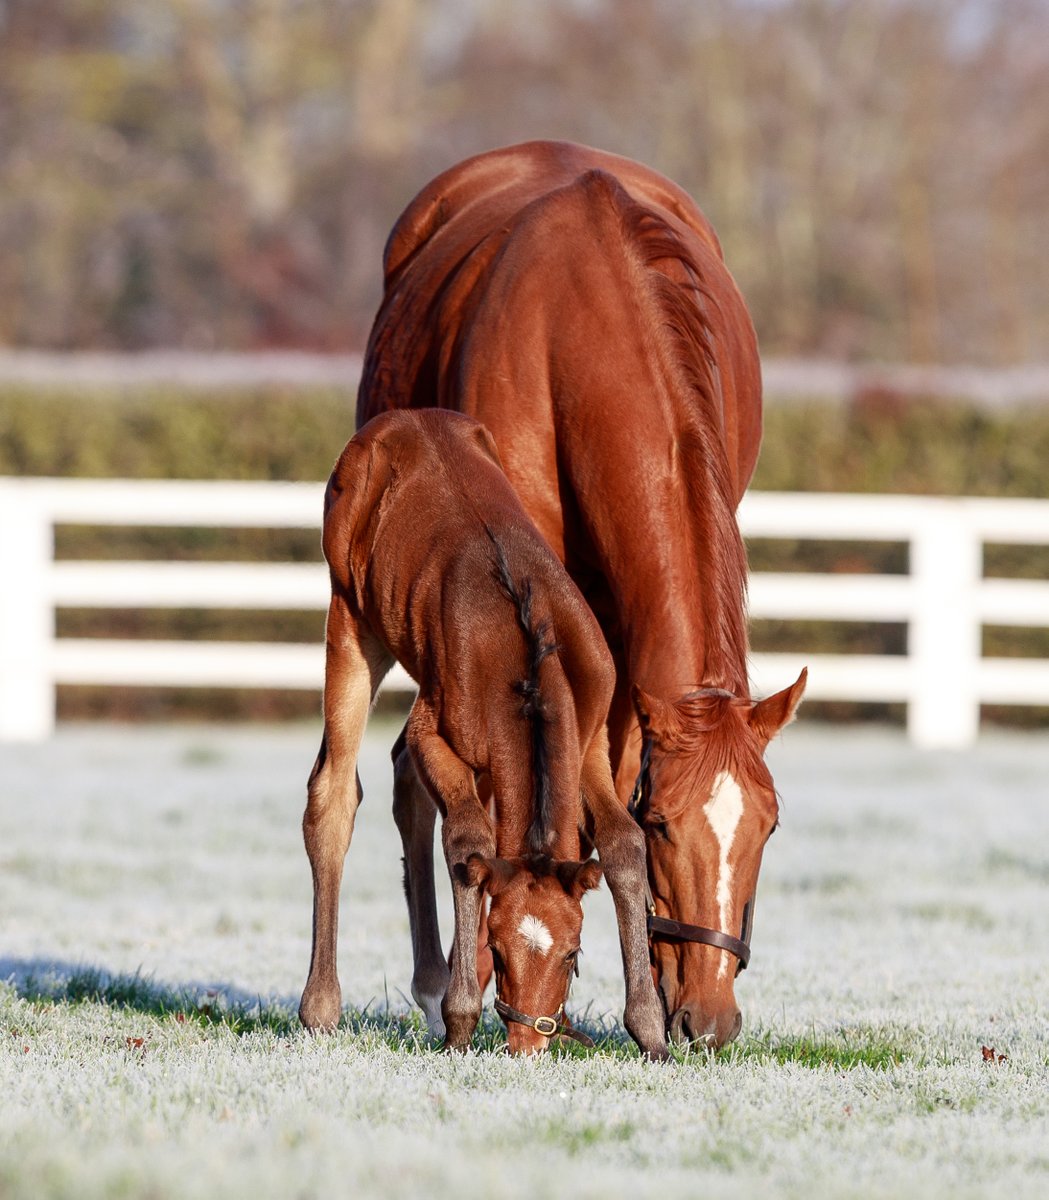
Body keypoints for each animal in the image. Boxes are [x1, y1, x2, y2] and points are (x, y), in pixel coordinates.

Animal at [298, 408, 667, 1057]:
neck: (528, 648)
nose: (527, 1045)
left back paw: (426, 991)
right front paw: (462, 1017)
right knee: (335, 793)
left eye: (572, 954)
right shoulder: (436, 733)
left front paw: (652, 1032)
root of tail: (404, 417)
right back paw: (324, 1008)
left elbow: (624, 842)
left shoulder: (590, 740)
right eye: (495, 945)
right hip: (351, 618)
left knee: (403, 785)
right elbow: (468, 838)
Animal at [356, 140, 807, 1049]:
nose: (710, 1017)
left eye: (770, 825)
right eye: (665, 822)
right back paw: (436, 981)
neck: (589, 331)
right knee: (410, 777)